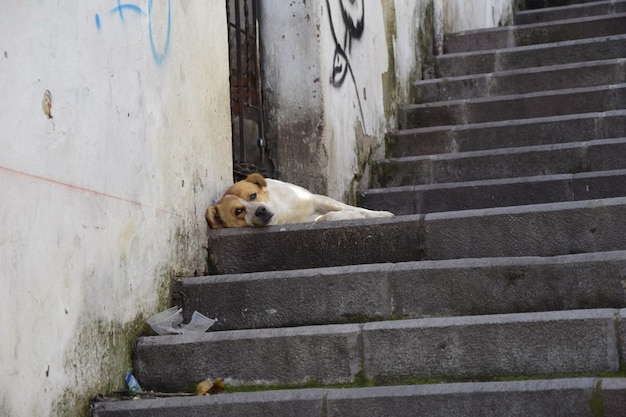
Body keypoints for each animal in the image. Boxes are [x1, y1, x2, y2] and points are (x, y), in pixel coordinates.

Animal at [204, 174, 390, 229]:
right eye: (238, 211)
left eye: (253, 195)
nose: (260, 211)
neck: (282, 211)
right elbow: (326, 217)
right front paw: (351, 215)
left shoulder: (317, 199)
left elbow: (354, 208)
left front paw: (380, 214)